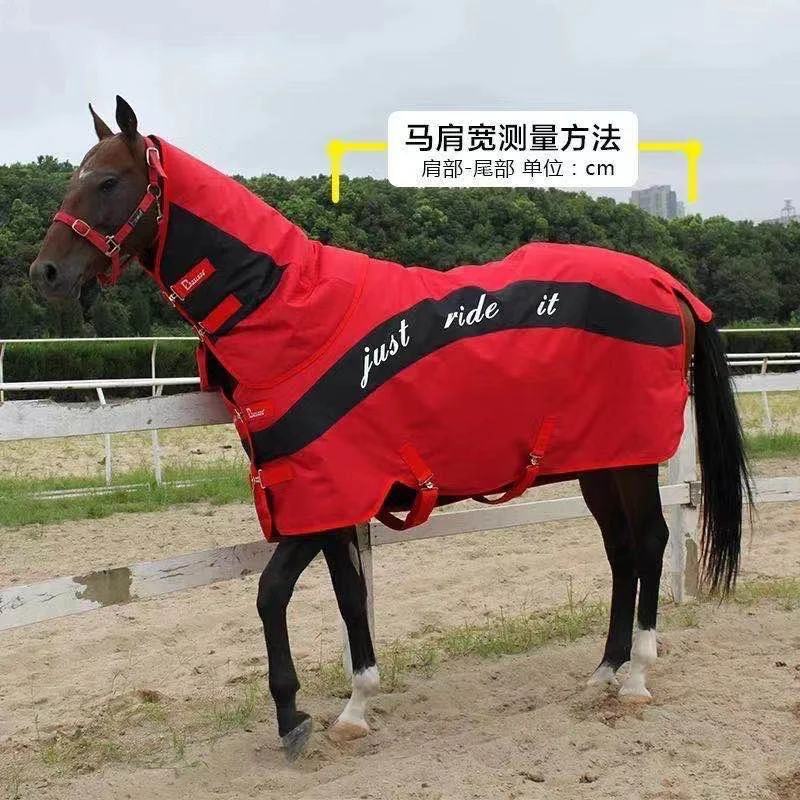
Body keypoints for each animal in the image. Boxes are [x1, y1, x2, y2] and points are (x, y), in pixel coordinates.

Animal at [29, 96, 754, 761]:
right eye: (74, 177)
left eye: (107, 181)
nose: (45, 273)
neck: (295, 312)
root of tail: (667, 284)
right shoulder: (329, 499)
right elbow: (349, 597)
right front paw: (354, 706)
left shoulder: (323, 493)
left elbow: (270, 594)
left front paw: (292, 716)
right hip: (600, 461)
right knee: (622, 551)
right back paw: (602, 671)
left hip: (631, 460)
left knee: (652, 542)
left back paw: (635, 675)